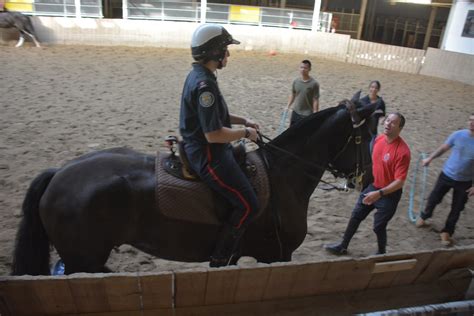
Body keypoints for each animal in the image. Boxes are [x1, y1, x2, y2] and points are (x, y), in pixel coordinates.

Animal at [11, 95, 376, 274]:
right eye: (368, 135)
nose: (371, 178)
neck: (281, 177)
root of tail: (60, 172)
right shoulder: (277, 256)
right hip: (82, 261)